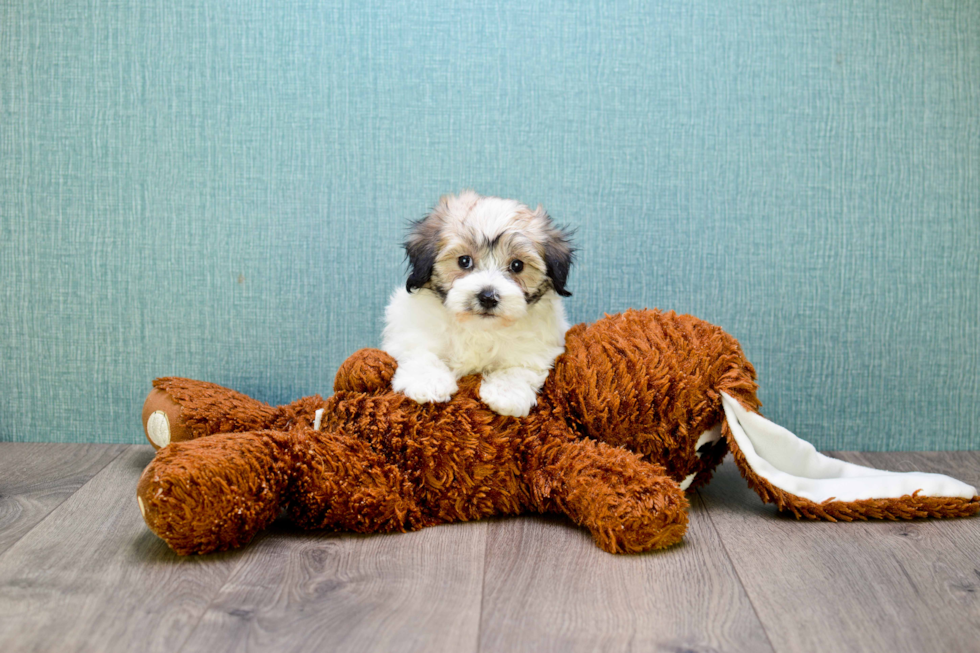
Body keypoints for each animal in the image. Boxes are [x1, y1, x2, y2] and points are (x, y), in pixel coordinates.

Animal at [382, 192, 580, 418]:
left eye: (517, 265)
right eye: (464, 261)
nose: (487, 297)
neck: (479, 328)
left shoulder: (539, 348)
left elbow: (520, 365)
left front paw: (507, 392)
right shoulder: (409, 331)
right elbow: (421, 352)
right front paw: (427, 382)